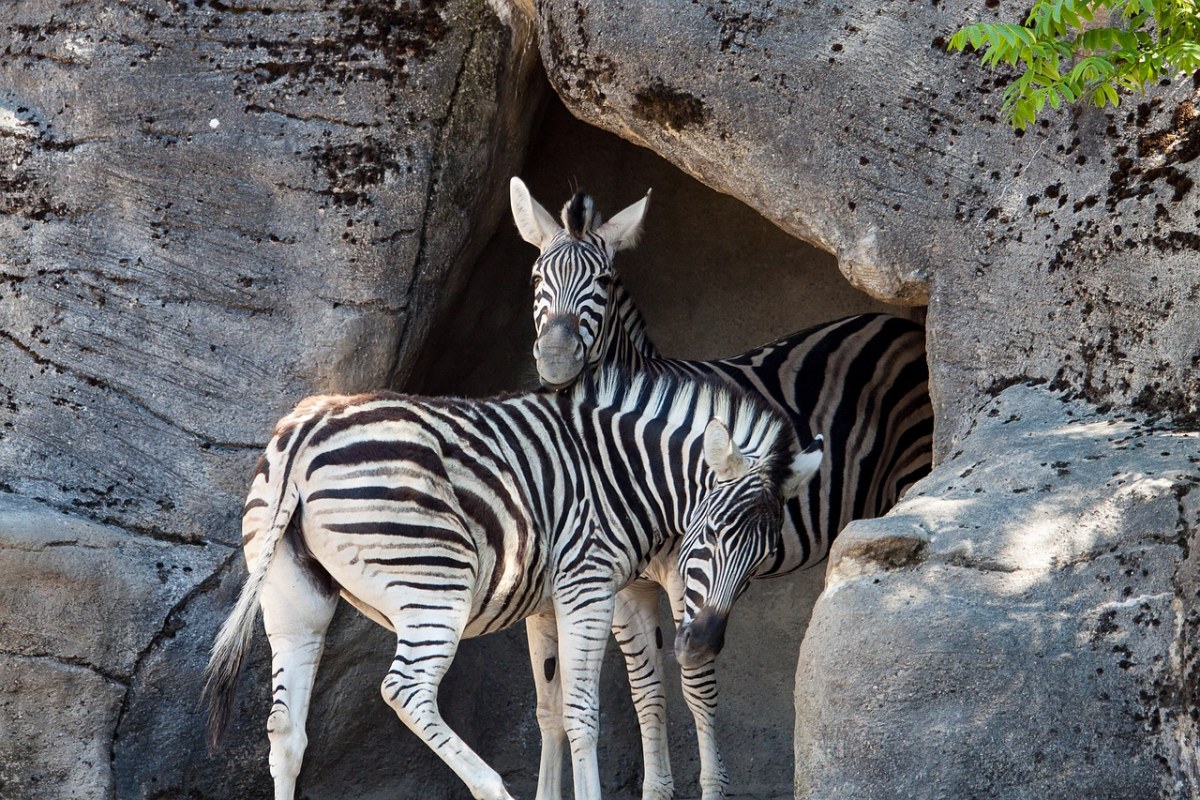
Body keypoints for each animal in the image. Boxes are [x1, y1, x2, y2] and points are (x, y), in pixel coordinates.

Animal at [204, 367, 825, 800]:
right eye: (712, 537)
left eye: (762, 561)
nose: (700, 646)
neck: (624, 475)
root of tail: (310, 426)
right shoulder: (589, 584)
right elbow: (582, 712)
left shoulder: (545, 604)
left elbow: (549, 711)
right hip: (435, 585)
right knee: (405, 690)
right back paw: (492, 788)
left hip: (293, 596)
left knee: (286, 730)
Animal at [511, 176, 931, 800]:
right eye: (538, 277)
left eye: (604, 283)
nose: (557, 359)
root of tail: (903, 324)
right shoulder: (627, 585)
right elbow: (648, 693)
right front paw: (658, 788)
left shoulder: (689, 575)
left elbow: (696, 689)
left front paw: (713, 786)